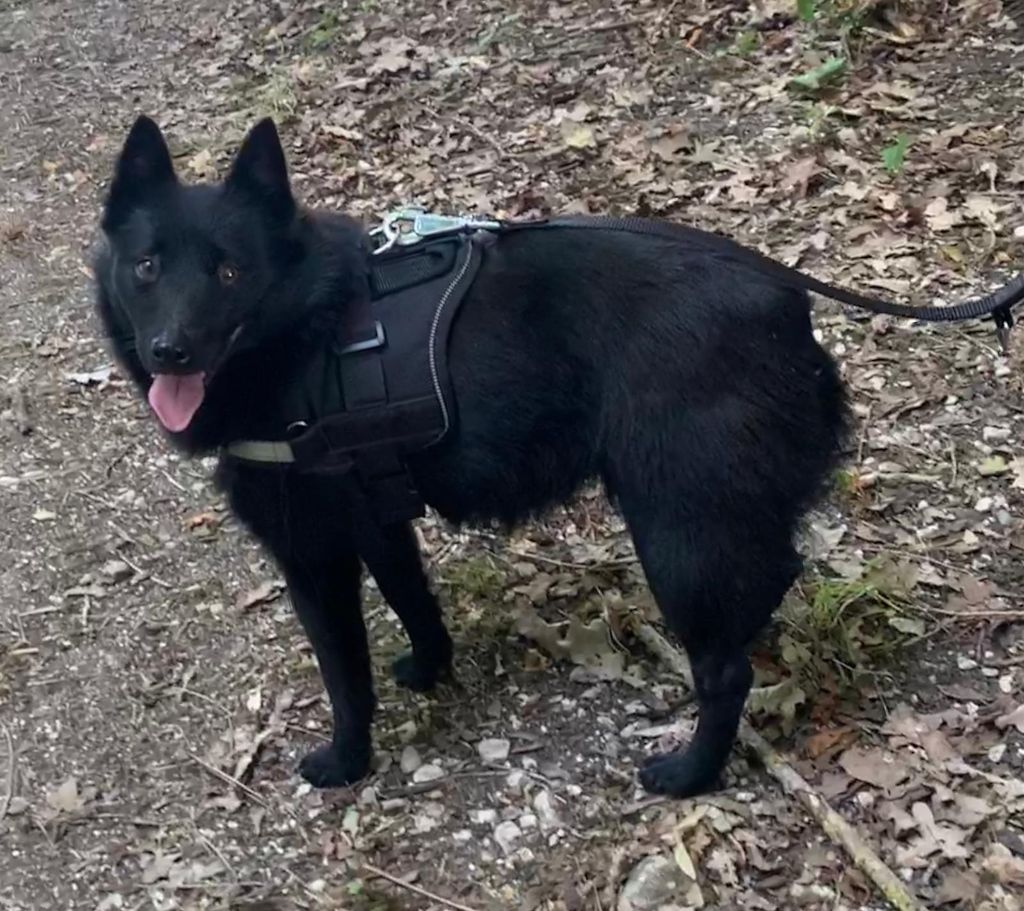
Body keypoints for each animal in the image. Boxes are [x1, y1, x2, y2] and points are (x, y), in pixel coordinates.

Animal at [94, 117, 847, 798]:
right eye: (146, 266)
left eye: (229, 271)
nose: (169, 351)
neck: (305, 330)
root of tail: (784, 305)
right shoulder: (380, 522)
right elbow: (414, 600)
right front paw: (431, 669)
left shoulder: (313, 555)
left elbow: (345, 673)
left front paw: (347, 759)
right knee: (770, 575)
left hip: (676, 537)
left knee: (726, 673)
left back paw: (692, 772)